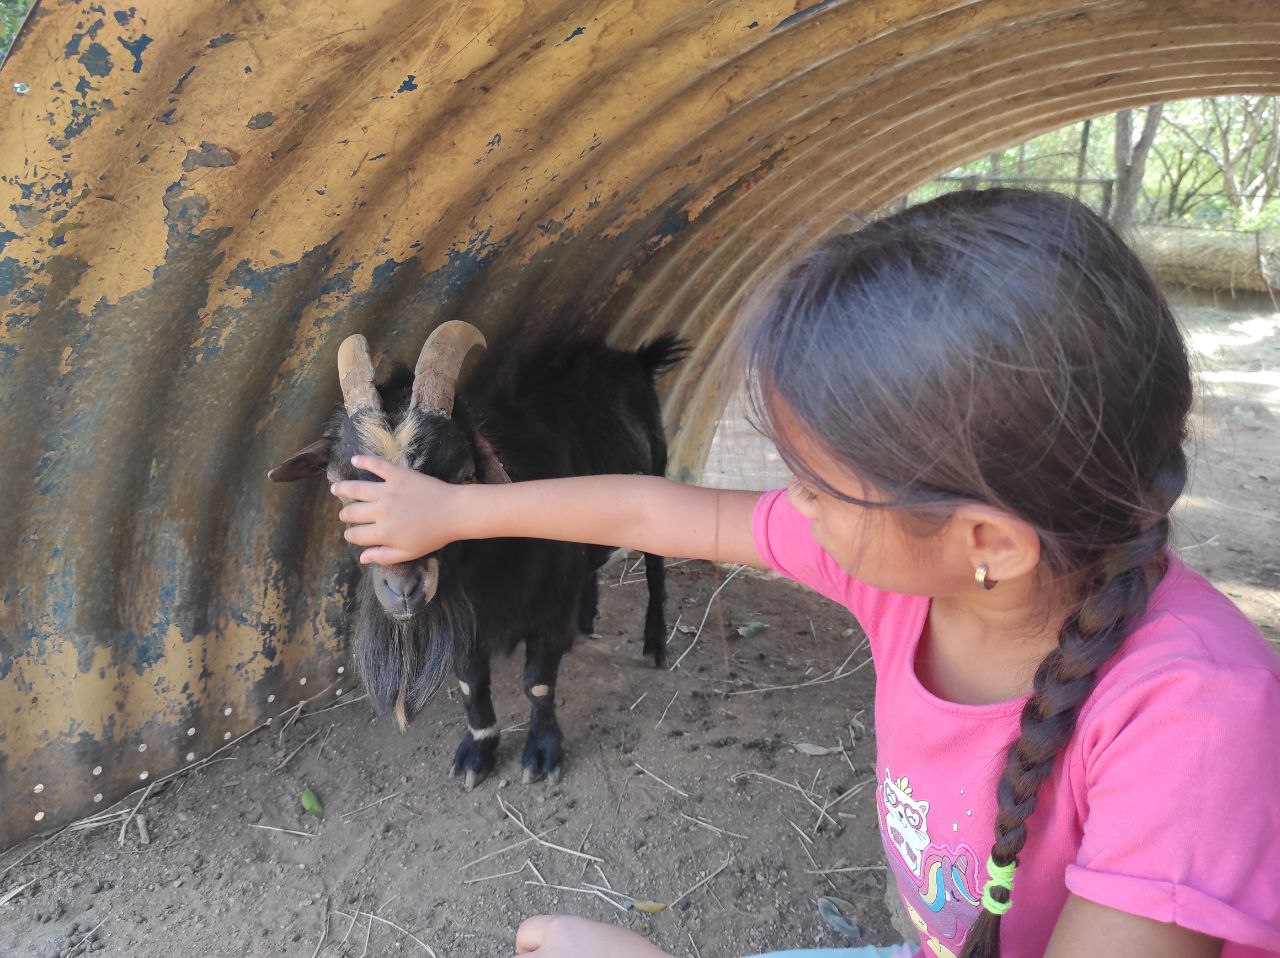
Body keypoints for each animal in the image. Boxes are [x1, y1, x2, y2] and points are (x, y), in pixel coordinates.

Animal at [267, 321, 680, 783]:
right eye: (340, 487)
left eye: (464, 475)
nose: (403, 590)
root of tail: (635, 359)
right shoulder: (470, 621)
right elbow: (471, 681)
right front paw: (478, 750)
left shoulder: (550, 605)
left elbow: (537, 681)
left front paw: (542, 753)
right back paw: (586, 622)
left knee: (656, 567)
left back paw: (655, 645)